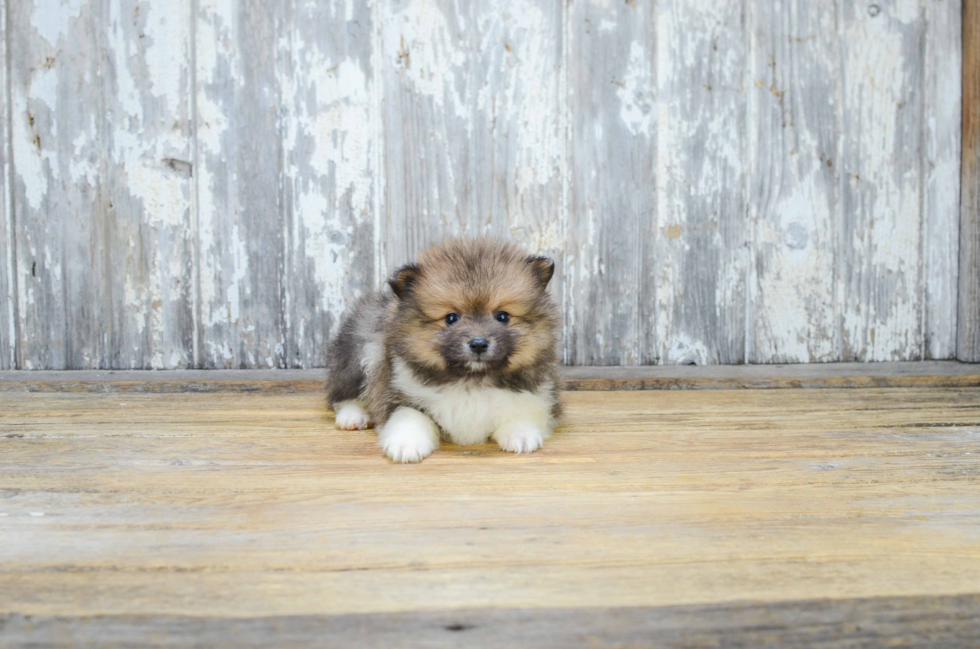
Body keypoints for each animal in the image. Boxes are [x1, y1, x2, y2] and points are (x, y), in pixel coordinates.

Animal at [328, 238, 564, 460]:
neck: (472, 380)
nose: (478, 343)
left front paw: (521, 434)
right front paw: (407, 444)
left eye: (502, 316)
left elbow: (523, 411)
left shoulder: (538, 393)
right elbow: (409, 416)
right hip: (360, 353)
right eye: (451, 318)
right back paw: (353, 416)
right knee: (342, 395)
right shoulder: (398, 391)